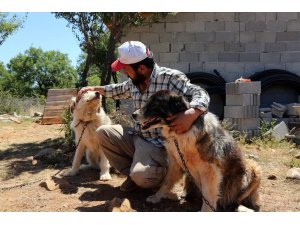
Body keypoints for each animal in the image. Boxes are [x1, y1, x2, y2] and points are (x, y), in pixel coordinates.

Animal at [132, 89, 262, 211]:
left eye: (154, 104)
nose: (133, 115)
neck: (181, 133)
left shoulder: (210, 170)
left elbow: (208, 194)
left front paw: (205, 211)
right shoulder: (175, 162)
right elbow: (166, 182)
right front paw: (156, 197)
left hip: (253, 167)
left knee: (238, 200)